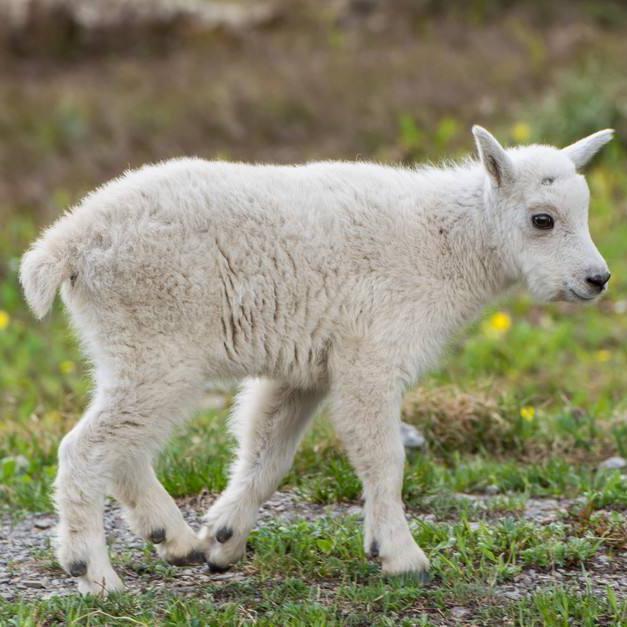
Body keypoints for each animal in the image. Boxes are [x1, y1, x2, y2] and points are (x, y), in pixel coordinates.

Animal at [20, 126, 612, 592]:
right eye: (542, 219)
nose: (597, 279)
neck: (447, 243)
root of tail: (67, 244)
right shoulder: (371, 355)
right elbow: (384, 456)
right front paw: (403, 557)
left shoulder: (303, 372)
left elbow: (267, 452)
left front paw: (223, 541)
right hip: (158, 346)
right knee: (87, 447)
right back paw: (94, 574)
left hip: (130, 351)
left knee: (124, 444)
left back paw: (176, 539)